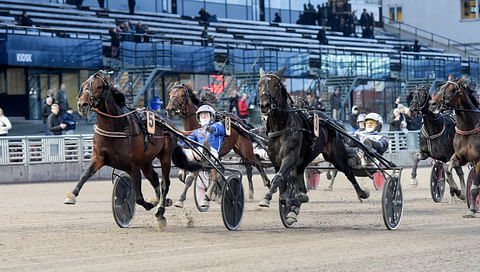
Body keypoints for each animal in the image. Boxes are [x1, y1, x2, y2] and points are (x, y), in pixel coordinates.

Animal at [63, 71, 201, 228]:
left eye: (98, 86)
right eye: (84, 85)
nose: (82, 104)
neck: (115, 126)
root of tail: (167, 122)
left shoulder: (133, 166)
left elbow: (138, 197)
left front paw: (150, 205)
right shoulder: (99, 157)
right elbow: (85, 174)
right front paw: (71, 195)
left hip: (165, 156)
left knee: (164, 183)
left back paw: (160, 211)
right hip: (146, 162)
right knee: (154, 178)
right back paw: (162, 201)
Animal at [256, 67, 370, 224]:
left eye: (275, 85)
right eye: (259, 84)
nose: (264, 105)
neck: (282, 126)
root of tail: (330, 119)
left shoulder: (290, 158)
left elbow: (278, 178)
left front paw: (267, 198)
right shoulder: (276, 161)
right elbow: (282, 181)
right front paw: (287, 201)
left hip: (335, 156)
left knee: (348, 171)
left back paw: (362, 193)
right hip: (302, 163)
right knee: (301, 183)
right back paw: (297, 203)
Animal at [430, 76, 480, 215]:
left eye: (452, 89)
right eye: (441, 87)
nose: (432, 103)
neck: (469, 128)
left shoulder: (478, 161)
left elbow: (474, 187)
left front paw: (472, 209)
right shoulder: (459, 157)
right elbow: (447, 168)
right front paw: (458, 192)